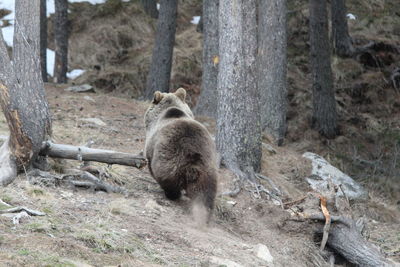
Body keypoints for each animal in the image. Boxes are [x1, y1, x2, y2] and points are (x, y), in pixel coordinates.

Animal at [145, 88, 219, 216]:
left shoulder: (152, 145)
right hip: (208, 167)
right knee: (206, 191)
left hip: (170, 159)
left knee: (168, 179)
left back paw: (171, 194)